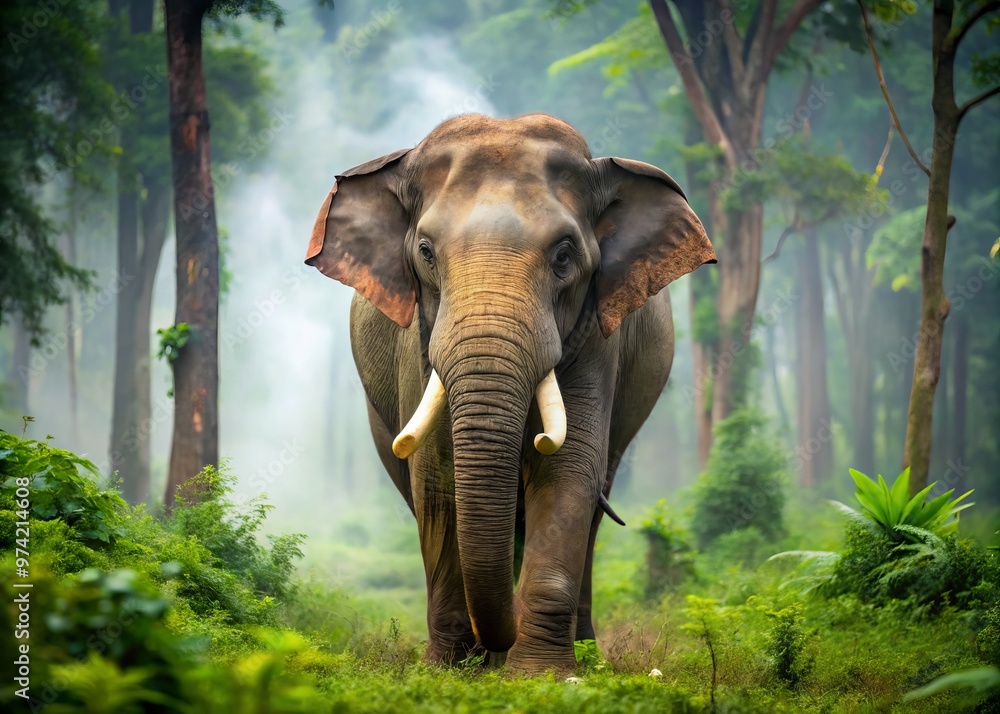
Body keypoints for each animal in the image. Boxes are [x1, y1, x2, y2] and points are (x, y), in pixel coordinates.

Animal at [305, 113, 715, 674]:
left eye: (564, 254)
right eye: (425, 252)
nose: (506, 629)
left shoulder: (597, 335)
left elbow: (568, 471)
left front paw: (541, 675)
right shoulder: (417, 340)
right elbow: (435, 475)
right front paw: (449, 668)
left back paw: (581, 653)